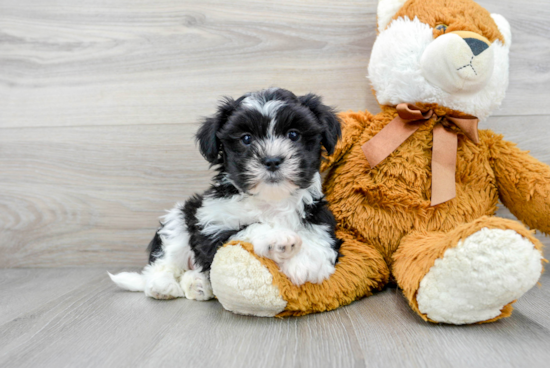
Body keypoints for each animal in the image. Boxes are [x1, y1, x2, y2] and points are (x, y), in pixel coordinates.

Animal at [109, 87, 342, 300]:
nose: (272, 160)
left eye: (293, 134)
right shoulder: (212, 226)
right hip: (179, 219)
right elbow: (246, 229)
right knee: (164, 260)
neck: (270, 199)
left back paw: (197, 285)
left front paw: (305, 262)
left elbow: (318, 237)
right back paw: (162, 286)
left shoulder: (319, 215)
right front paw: (277, 237)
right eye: (246, 138)